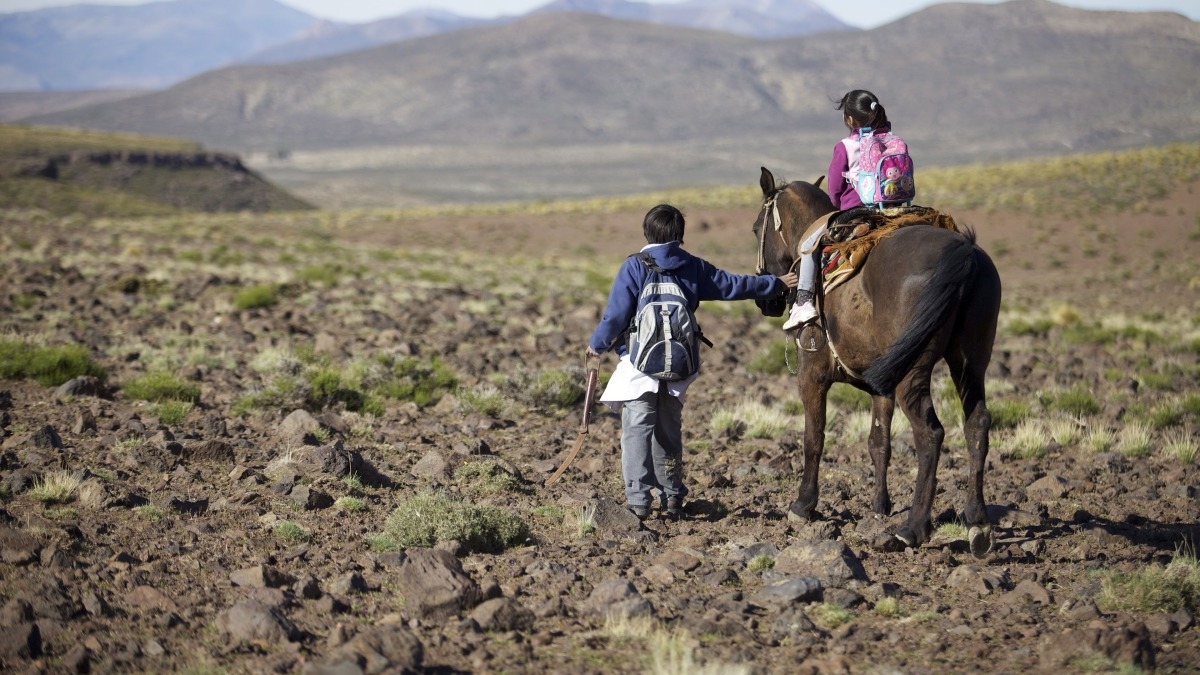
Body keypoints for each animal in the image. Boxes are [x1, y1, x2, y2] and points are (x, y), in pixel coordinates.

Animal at [753, 166, 998, 552]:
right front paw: (879, 506)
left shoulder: (812, 375)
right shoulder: (881, 387)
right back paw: (977, 523)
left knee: (930, 433)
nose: (768, 301)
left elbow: (814, 437)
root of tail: (964, 251)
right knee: (977, 424)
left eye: (754, 228)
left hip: (914, 372)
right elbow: (878, 442)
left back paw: (913, 527)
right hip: (969, 362)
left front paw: (803, 505)